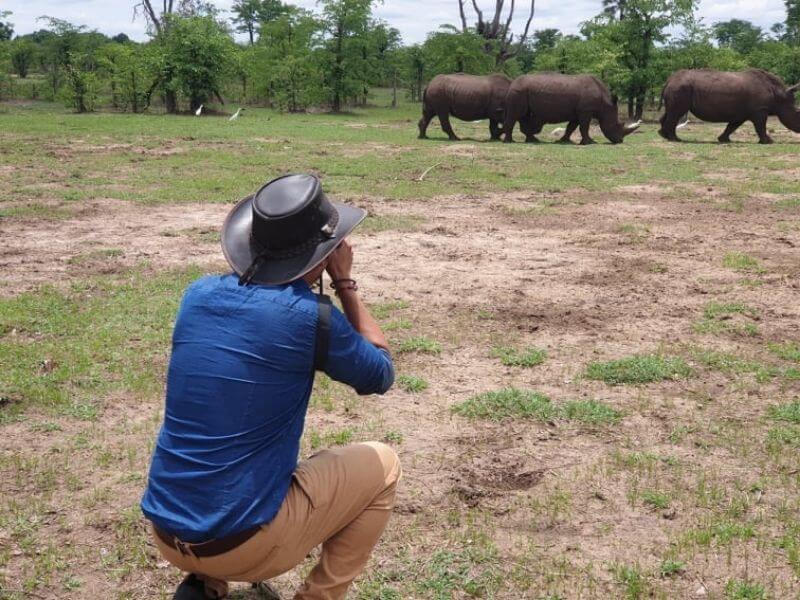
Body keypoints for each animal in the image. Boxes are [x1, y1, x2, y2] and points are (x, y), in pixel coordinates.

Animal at [504, 73, 640, 145]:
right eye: (617, 125)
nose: (620, 141)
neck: (605, 103)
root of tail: (512, 83)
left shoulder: (578, 112)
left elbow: (571, 127)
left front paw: (563, 141)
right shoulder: (586, 110)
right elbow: (584, 127)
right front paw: (590, 142)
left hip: (522, 91)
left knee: (525, 117)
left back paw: (533, 140)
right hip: (518, 92)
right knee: (515, 115)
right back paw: (510, 142)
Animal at [656, 68, 800, 144]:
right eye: (797, 113)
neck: (779, 94)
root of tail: (669, 80)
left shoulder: (743, 113)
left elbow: (732, 126)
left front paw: (724, 140)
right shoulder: (760, 110)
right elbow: (760, 126)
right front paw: (769, 141)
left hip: (677, 87)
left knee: (671, 112)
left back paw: (664, 136)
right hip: (680, 88)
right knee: (676, 113)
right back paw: (676, 140)